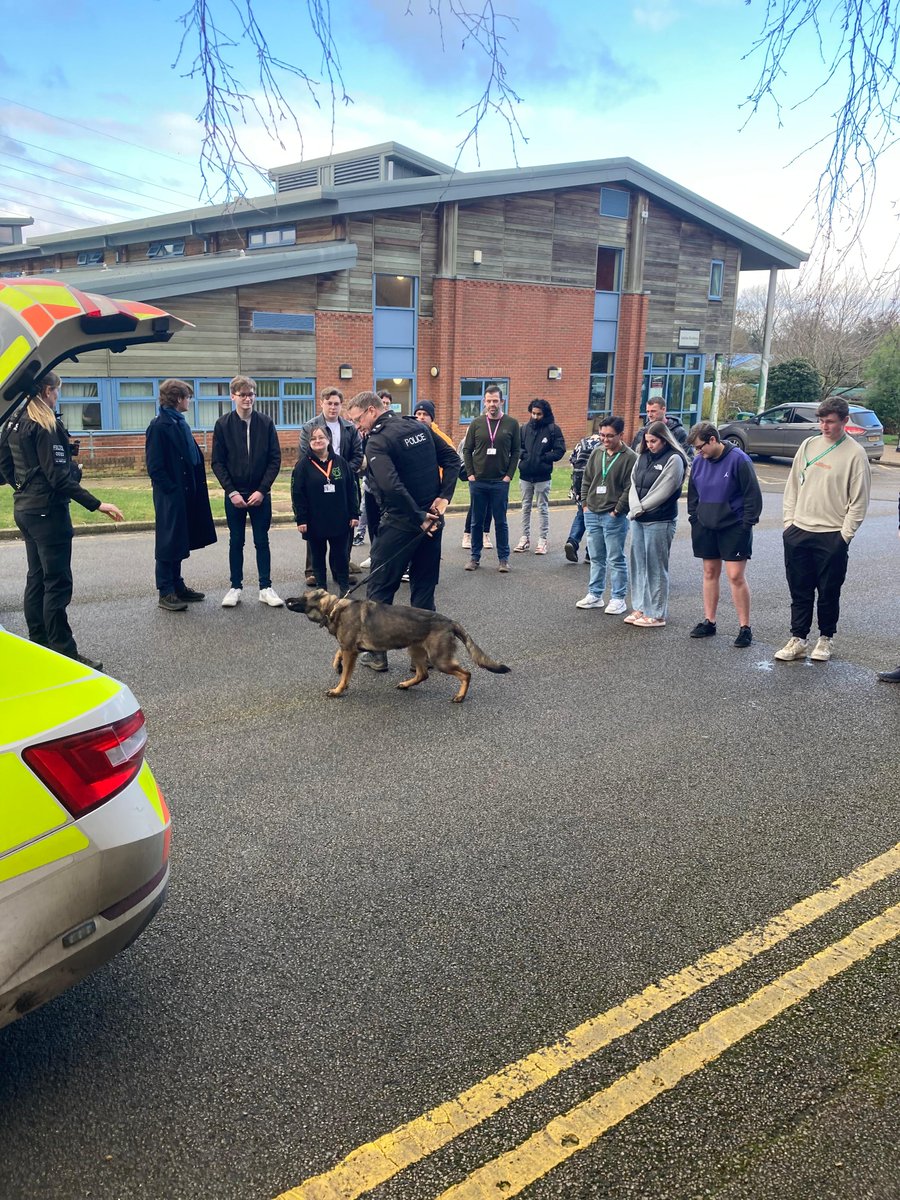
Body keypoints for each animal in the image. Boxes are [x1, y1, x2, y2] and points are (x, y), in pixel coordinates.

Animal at [285, 590, 511, 700]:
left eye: (303, 596)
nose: (287, 599)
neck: (335, 608)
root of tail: (449, 621)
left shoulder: (350, 651)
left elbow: (345, 675)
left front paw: (338, 690)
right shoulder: (348, 648)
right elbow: (338, 654)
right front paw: (337, 665)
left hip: (440, 660)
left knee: (466, 674)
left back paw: (460, 696)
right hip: (415, 650)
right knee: (423, 674)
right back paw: (406, 684)